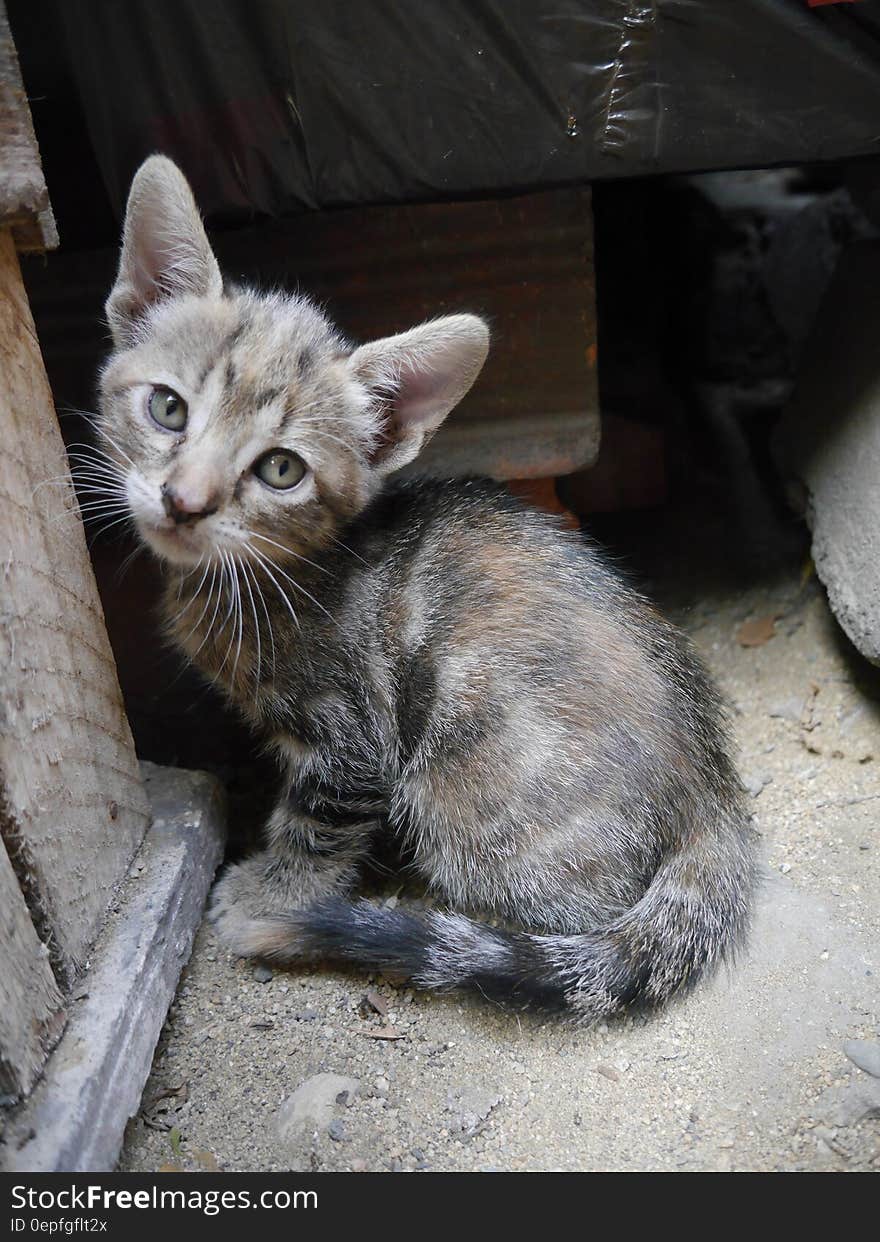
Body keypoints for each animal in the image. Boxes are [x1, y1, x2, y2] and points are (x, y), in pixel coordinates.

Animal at [98, 155, 754, 1023]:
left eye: (281, 468)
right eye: (167, 408)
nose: (184, 501)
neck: (268, 575)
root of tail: (714, 793)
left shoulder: (349, 745)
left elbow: (314, 827)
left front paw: (270, 896)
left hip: (469, 796)